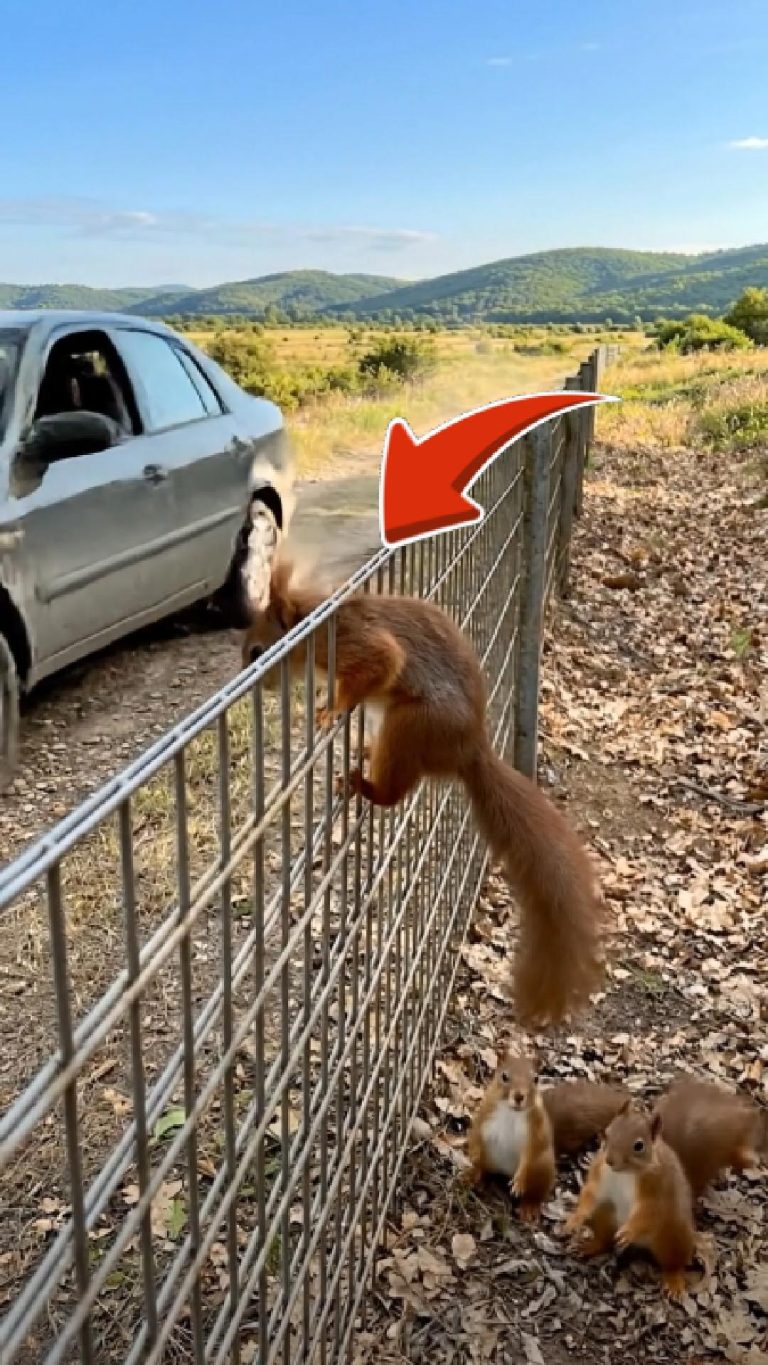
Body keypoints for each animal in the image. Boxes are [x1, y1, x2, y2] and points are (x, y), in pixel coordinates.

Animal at [241, 555, 605, 1025]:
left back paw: (362, 783)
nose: (254, 685)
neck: (312, 624)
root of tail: (469, 749)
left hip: (411, 727)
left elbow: (379, 664)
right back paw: (364, 750)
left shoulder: (354, 645)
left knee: (393, 793)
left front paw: (330, 710)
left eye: (257, 651)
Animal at [466, 1049, 629, 1221]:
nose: (519, 1096)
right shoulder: (483, 1117)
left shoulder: (537, 1132)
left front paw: (520, 1180)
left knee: (536, 1193)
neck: (511, 1113)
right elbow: (475, 1137)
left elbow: (531, 1154)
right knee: (485, 1169)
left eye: (535, 1079)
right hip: (491, 1158)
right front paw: (474, 1158)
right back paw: (473, 1175)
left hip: (542, 1169)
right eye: (504, 1076)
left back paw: (529, 1207)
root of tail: (504, 1172)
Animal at [562, 1099, 696, 1300]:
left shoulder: (657, 1187)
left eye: (639, 1146)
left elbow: (650, 1211)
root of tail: (643, 1244)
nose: (610, 1160)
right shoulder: (600, 1172)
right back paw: (589, 1246)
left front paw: (628, 1232)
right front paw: (576, 1218)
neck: (626, 1172)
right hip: (604, 1215)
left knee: (674, 1263)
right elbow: (591, 1193)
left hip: (673, 1235)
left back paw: (673, 1281)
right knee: (605, 1240)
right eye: (608, 1131)